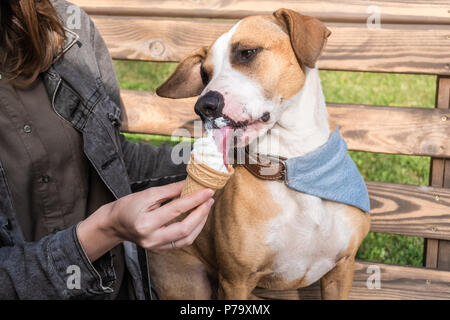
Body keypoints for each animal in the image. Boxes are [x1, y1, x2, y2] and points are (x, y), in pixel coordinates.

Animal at [149, 8, 370, 302]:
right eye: (205, 75)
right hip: (191, 284)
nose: (204, 106)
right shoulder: (236, 281)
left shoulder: (342, 269)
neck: (292, 166)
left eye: (247, 53)